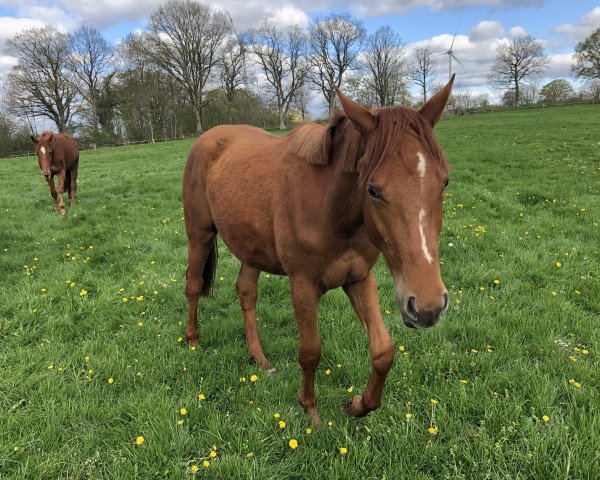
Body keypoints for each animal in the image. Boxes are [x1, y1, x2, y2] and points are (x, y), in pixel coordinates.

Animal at [183, 75, 454, 424]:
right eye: (373, 190)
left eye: (444, 182)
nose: (428, 306)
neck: (330, 209)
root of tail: (208, 138)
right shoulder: (303, 285)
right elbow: (310, 351)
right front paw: (310, 411)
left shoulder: (358, 278)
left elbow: (383, 351)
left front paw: (357, 405)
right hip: (199, 236)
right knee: (193, 286)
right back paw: (193, 342)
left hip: (251, 247)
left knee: (246, 292)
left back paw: (260, 359)